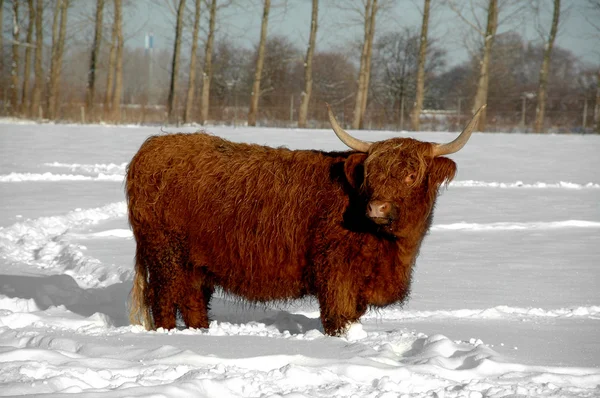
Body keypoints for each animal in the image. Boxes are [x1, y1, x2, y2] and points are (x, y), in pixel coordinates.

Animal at [129, 104, 486, 334]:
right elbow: (338, 319)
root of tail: (152, 147)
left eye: (412, 175)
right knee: (164, 300)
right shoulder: (337, 274)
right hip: (165, 254)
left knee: (192, 302)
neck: (393, 250)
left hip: (195, 263)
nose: (377, 208)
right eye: (370, 174)